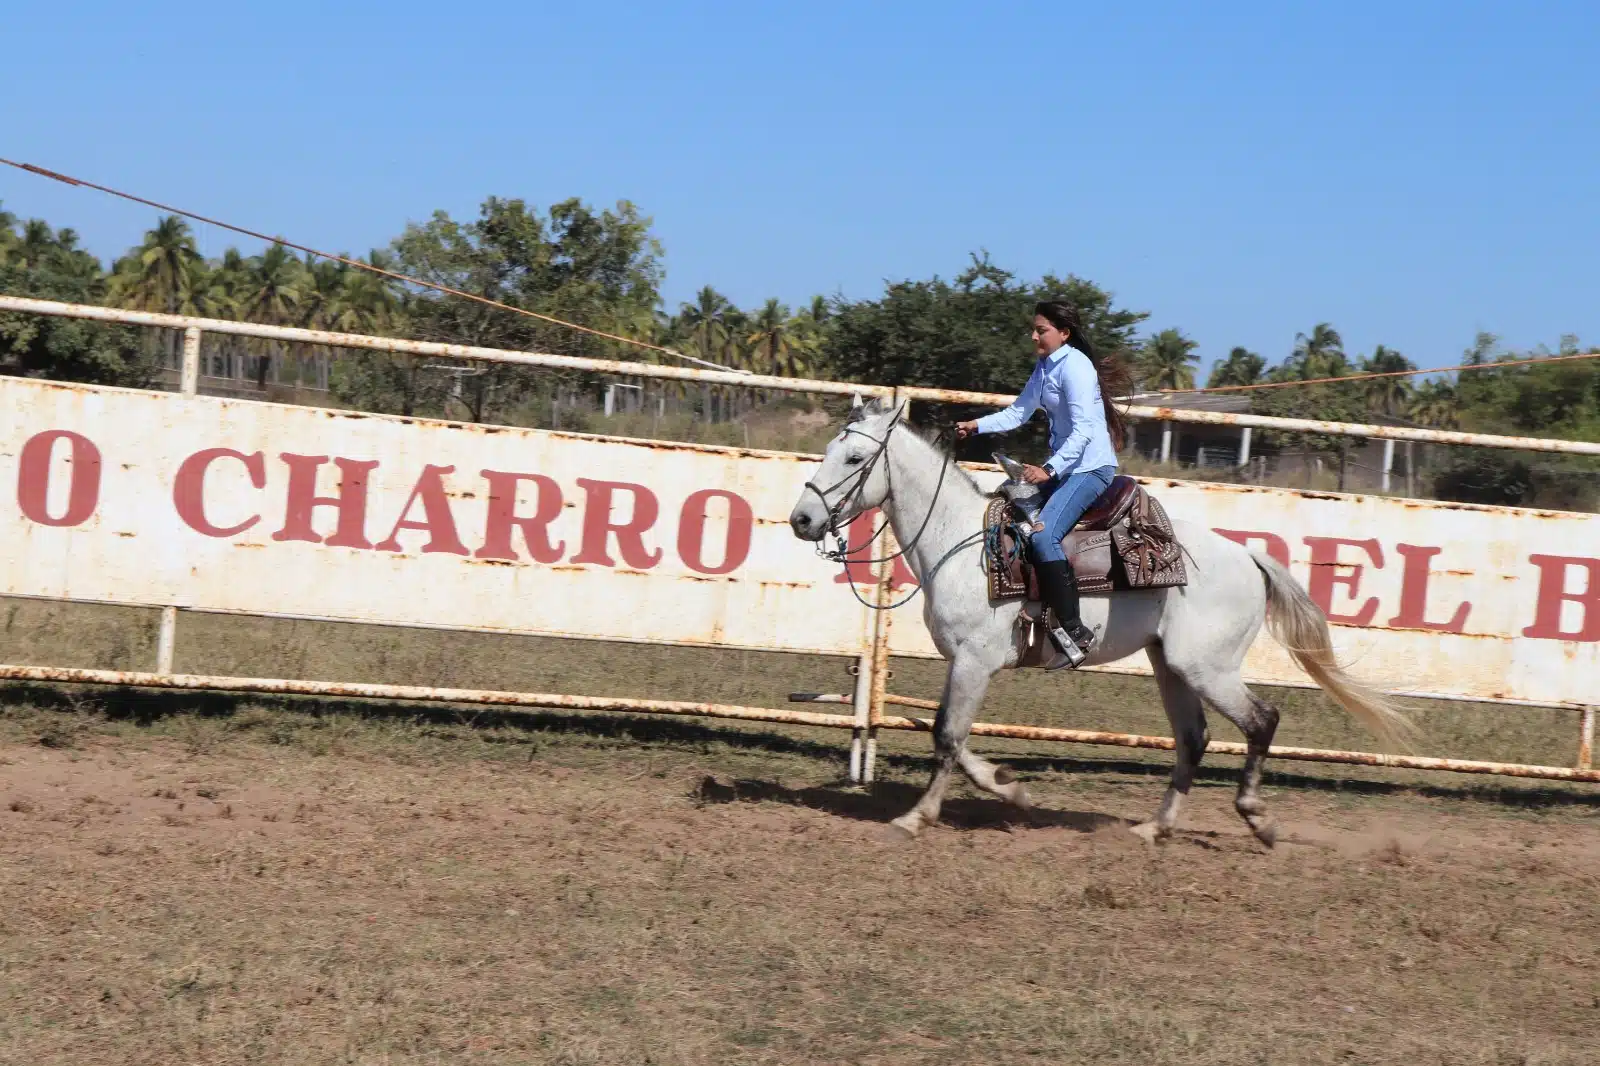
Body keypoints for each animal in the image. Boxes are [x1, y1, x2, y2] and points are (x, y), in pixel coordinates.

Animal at [790, 393, 1414, 845]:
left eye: (853, 458)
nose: (801, 519)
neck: (959, 542)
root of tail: (1246, 556)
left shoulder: (974, 660)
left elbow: (946, 734)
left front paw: (917, 817)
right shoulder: (965, 664)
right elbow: (947, 731)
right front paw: (1009, 788)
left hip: (1207, 668)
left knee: (1261, 721)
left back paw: (1257, 818)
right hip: (1170, 666)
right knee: (1193, 739)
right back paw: (1155, 828)